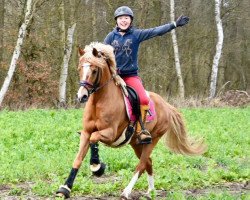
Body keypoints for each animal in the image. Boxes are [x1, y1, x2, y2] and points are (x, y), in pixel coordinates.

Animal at [56, 41, 207, 198]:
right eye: (79, 69)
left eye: (94, 71)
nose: (82, 96)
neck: (99, 102)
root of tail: (167, 106)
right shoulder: (86, 133)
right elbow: (78, 159)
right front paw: (65, 189)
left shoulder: (110, 134)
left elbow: (94, 138)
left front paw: (97, 167)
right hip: (136, 143)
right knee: (148, 162)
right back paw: (150, 191)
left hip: (153, 139)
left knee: (142, 164)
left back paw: (127, 191)